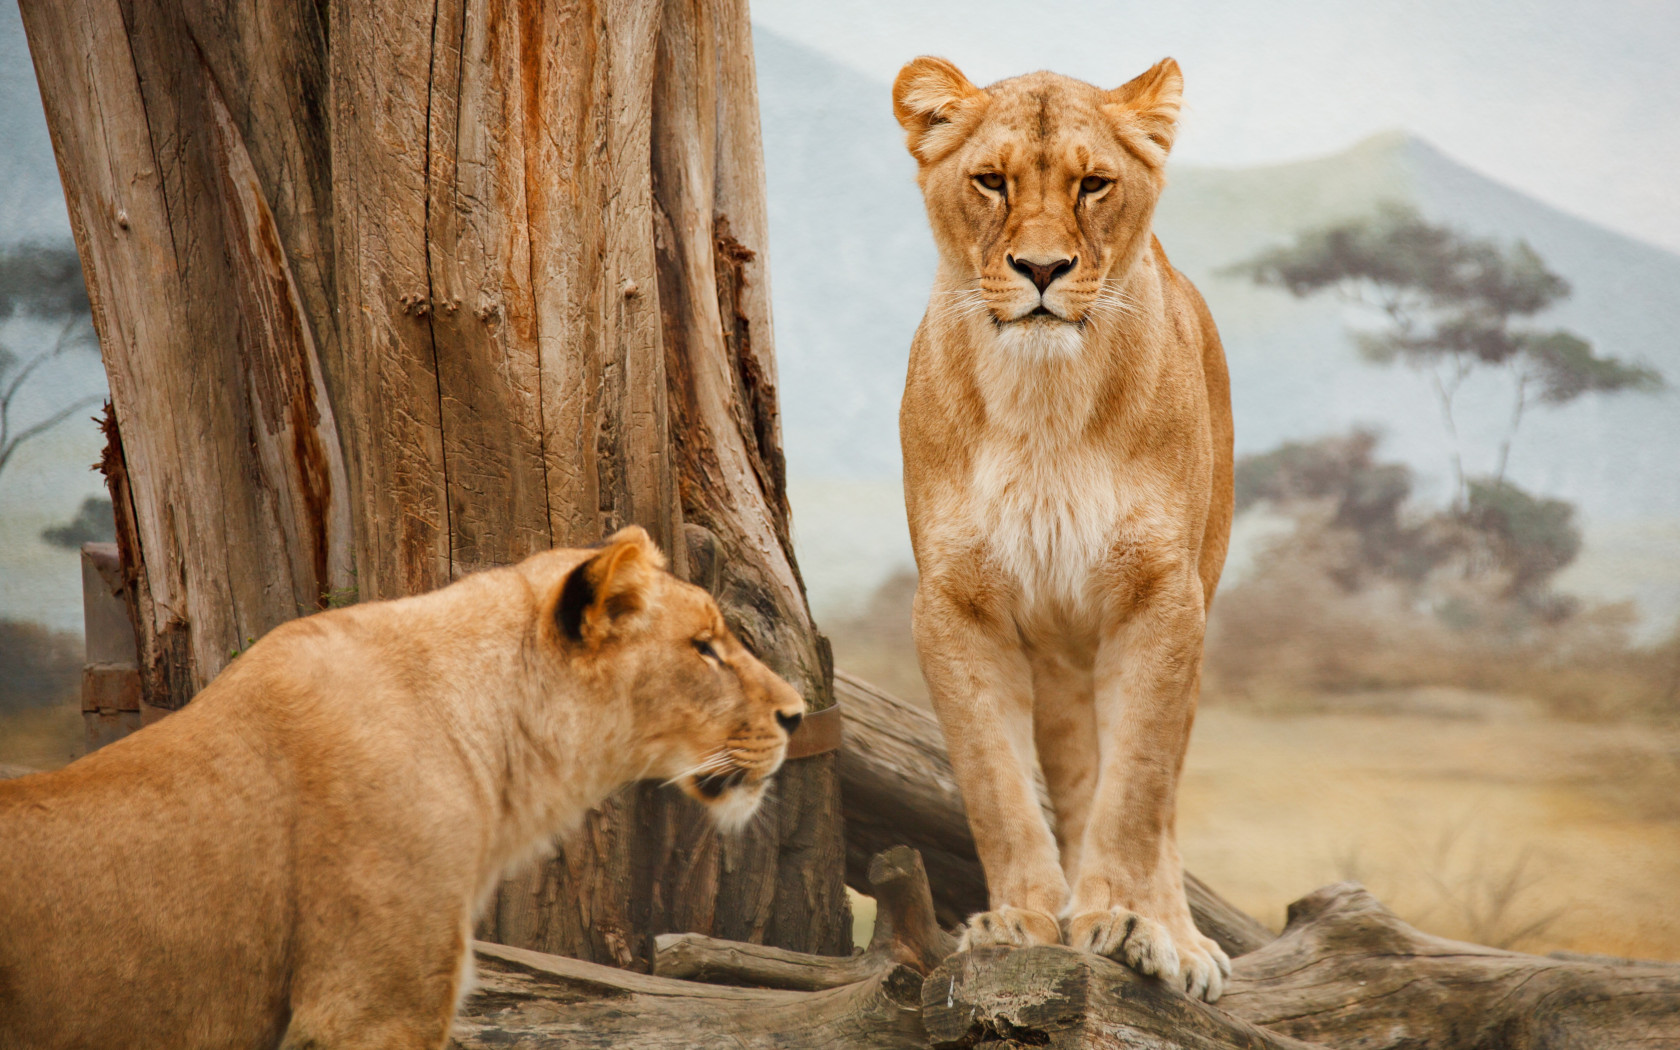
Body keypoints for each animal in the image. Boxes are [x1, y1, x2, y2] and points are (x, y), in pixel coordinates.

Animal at [892, 57, 1236, 1000]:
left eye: (1093, 184)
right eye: (990, 181)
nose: (1042, 268)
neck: (1044, 399)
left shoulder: (1162, 598)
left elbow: (1137, 791)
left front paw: (1123, 922)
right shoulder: (955, 606)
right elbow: (995, 782)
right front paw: (1020, 918)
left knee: (1161, 796)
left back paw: (1178, 939)